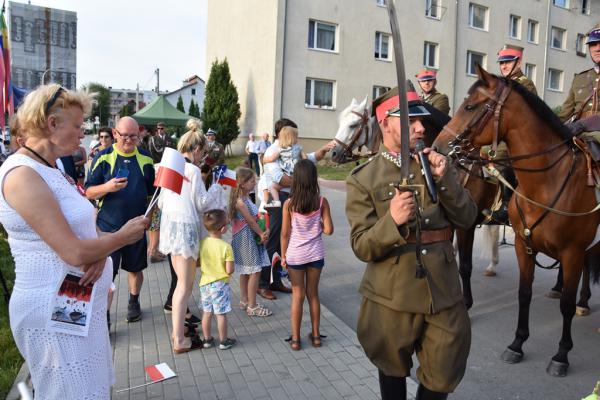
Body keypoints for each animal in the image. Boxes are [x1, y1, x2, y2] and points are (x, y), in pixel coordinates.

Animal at [434, 65, 600, 376]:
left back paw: (582, 301)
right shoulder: (525, 246)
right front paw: (517, 344)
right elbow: (524, 293)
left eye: (470, 106)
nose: (437, 147)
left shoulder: (571, 251)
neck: (549, 181)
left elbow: (566, 306)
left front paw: (561, 355)